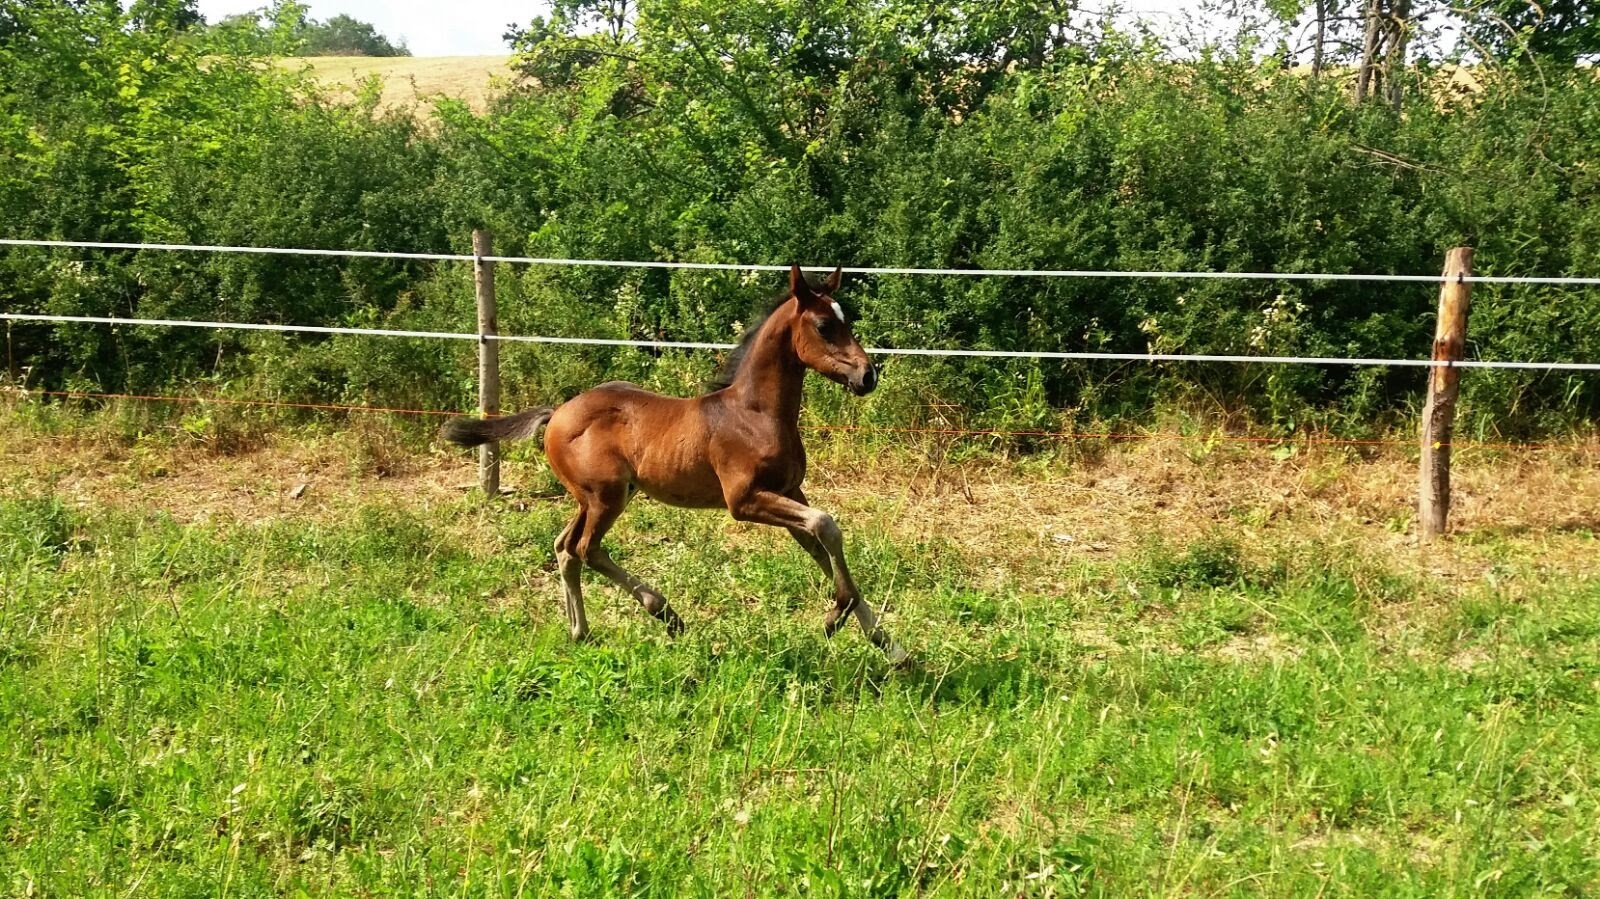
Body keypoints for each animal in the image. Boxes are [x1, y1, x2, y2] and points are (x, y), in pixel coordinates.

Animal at [444, 262, 908, 662]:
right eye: (825, 326)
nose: (867, 376)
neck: (755, 413)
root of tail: (556, 413)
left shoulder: (790, 490)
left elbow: (821, 548)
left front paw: (890, 647)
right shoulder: (745, 500)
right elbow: (826, 525)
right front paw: (835, 617)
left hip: (595, 497)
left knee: (564, 547)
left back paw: (582, 631)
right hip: (606, 496)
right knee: (585, 548)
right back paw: (666, 613)